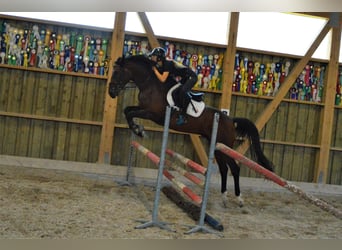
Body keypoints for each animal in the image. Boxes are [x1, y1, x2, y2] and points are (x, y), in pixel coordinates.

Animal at [108, 54, 274, 207]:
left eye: (117, 72)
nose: (111, 92)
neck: (150, 84)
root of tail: (231, 120)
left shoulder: (152, 114)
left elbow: (130, 113)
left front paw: (139, 130)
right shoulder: (143, 109)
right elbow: (127, 111)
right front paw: (137, 128)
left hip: (225, 145)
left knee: (234, 168)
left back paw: (239, 199)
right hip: (217, 147)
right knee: (223, 169)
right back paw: (224, 197)